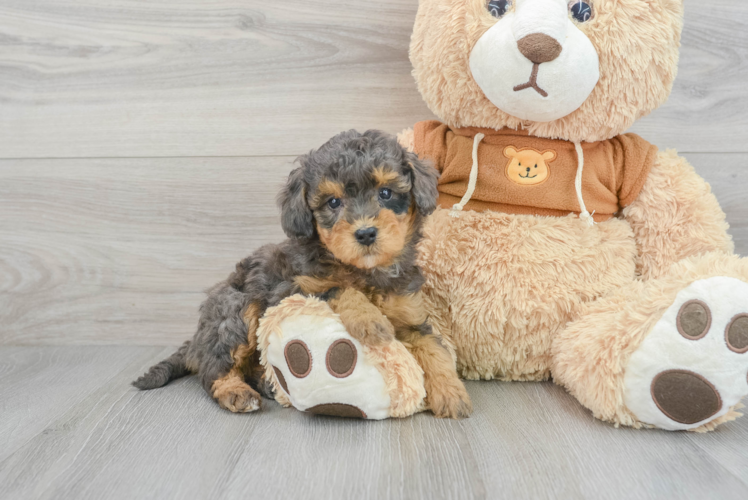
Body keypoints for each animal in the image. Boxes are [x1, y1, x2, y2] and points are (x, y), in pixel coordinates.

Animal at [133, 129, 474, 418]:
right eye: (334, 202)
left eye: (386, 193)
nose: (365, 233)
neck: (364, 271)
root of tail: (197, 338)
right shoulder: (293, 289)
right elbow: (341, 288)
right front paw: (370, 320)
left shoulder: (410, 314)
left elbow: (434, 349)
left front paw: (451, 393)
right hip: (236, 310)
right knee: (213, 367)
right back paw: (236, 392)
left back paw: (266, 383)